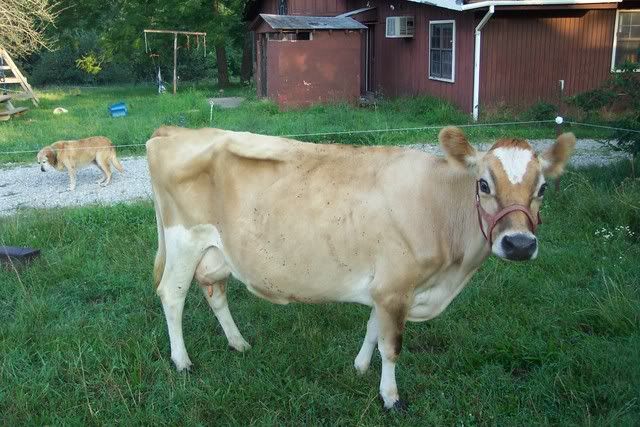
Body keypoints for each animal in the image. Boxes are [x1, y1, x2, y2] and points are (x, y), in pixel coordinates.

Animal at [146, 125, 575, 409]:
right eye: (484, 184)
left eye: (543, 188)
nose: (519, 244)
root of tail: (173, 132)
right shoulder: (395, 287)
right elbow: (392, 346)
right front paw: (391, 397)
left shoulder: (385, 289)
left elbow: (372, 329)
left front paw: (359, 367)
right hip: (184, 240)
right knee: (172, 295)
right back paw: (182, 361)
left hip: (215, 250)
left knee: (213, 290)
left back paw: (238, 343)